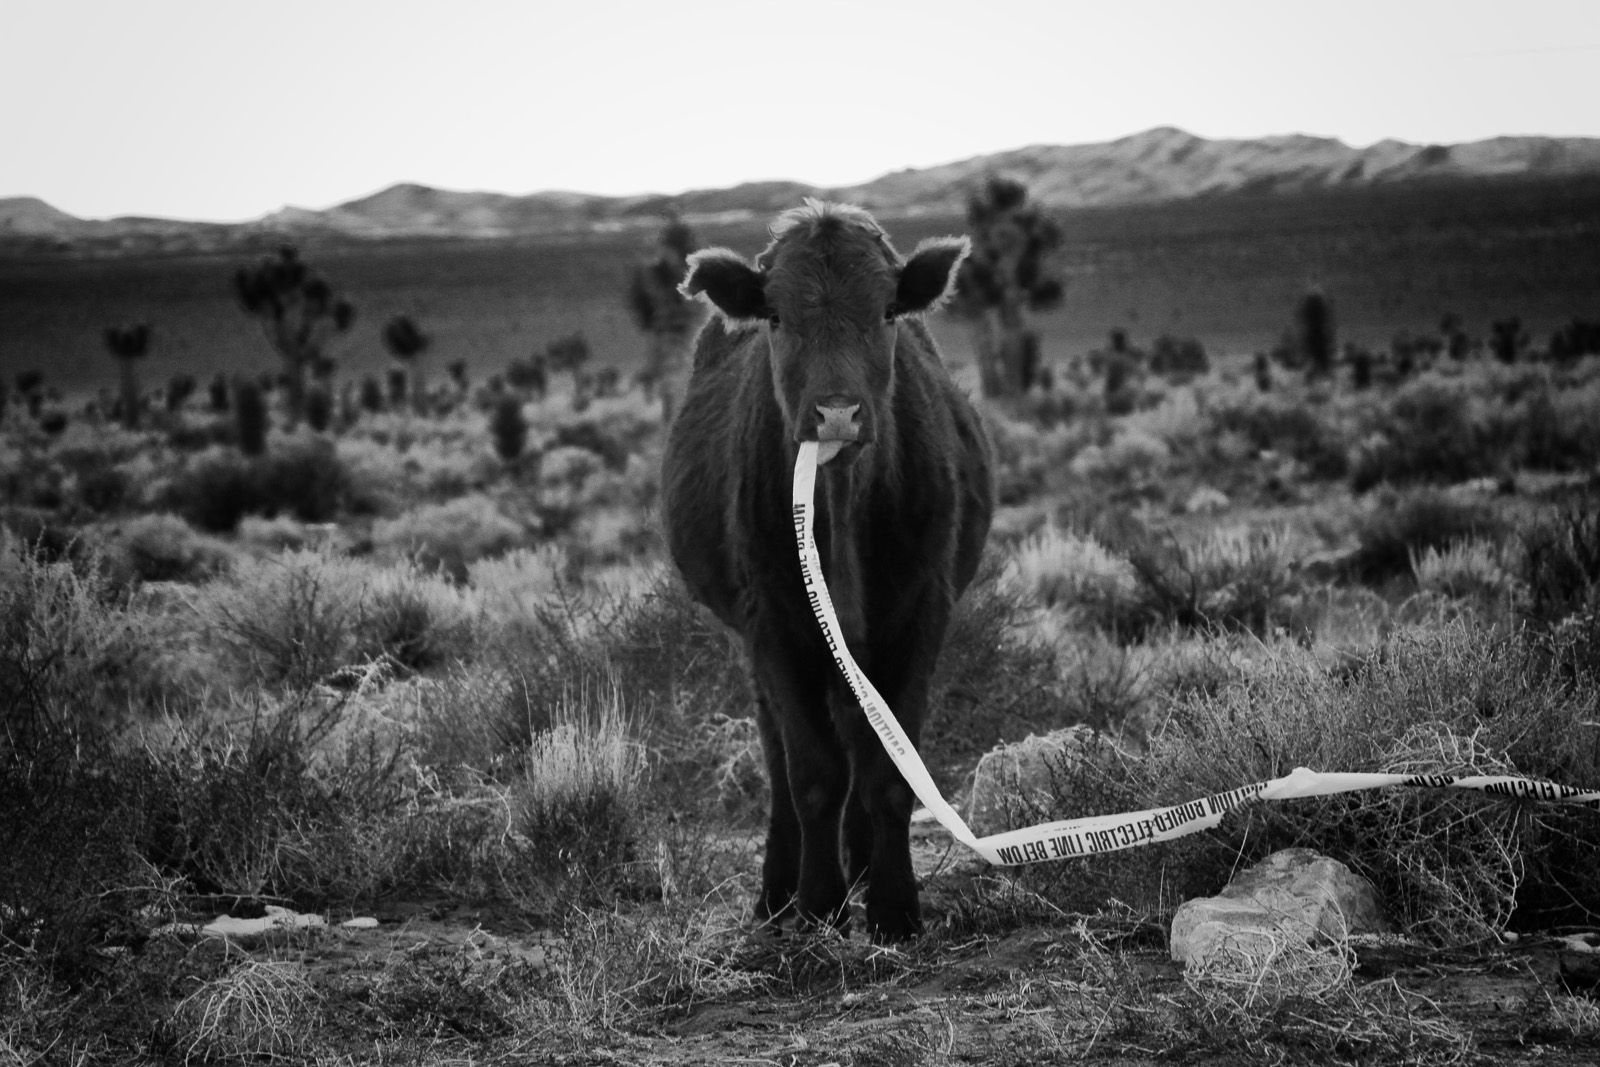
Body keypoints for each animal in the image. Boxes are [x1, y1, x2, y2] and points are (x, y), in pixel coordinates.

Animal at [661, 200, 994, 941]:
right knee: (780, 754)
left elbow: (891, 769)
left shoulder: (921, 612)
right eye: (777, 316)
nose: (837, 411)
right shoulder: (773, 623)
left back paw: (862, 867)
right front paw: (818, 904)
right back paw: (779, 893)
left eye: (887, 310)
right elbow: (812, 772)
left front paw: (894, 908)